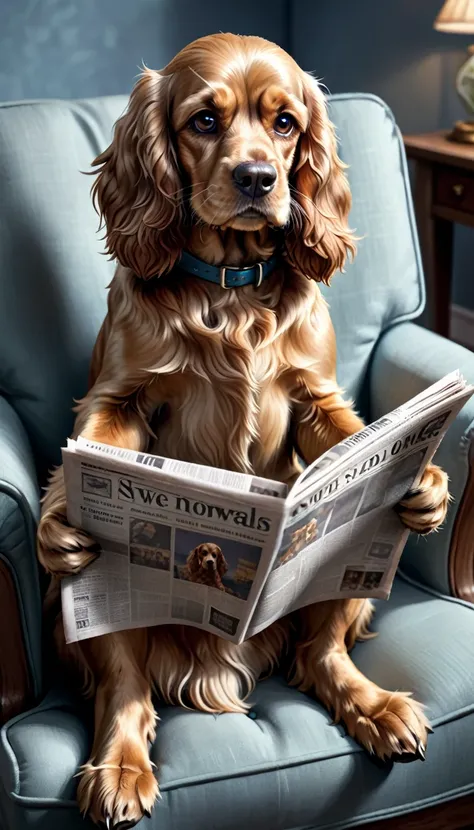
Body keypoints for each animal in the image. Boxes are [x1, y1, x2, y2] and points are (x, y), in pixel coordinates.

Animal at [37, 34, 448, 830]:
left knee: (322, 654)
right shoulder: (120, 398)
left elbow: (346, 431)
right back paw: (119, 767)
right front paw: (58, 519)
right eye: (204, 121)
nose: (259, 178)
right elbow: (95, 438)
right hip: (111, 602)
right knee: (126, 685)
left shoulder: (316, 399)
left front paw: (427, 483)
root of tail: (221, 664)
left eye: (285, 123)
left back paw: (375, 705)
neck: (229, 288)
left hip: (336, 562)